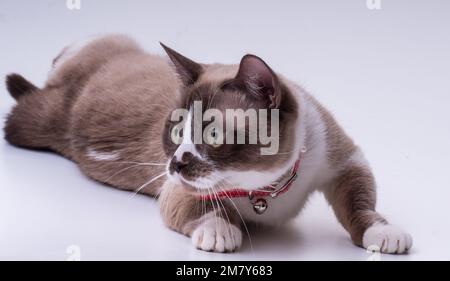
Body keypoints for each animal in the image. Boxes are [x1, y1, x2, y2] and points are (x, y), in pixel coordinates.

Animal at [3, 34, 412, 253]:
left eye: (213, 135)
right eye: (175, 135)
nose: (176, 163)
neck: (268, 190)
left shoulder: (345, 161)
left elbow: (360, 206)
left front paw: (383, 233)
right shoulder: (175, 189)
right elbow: (206, 213)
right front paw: (220, 232)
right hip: (30, 123)